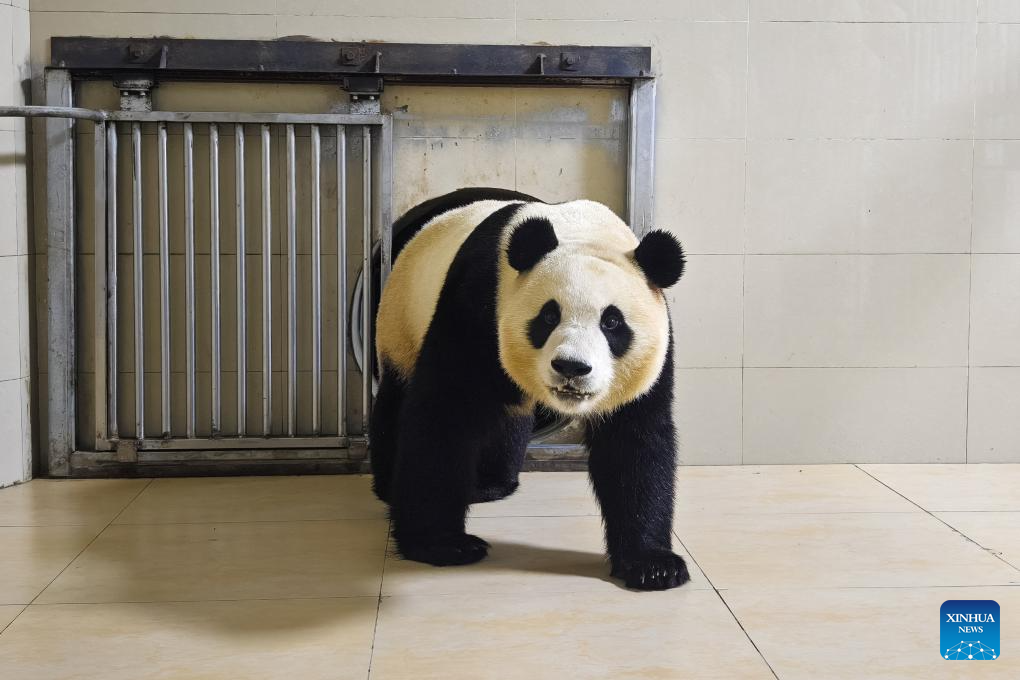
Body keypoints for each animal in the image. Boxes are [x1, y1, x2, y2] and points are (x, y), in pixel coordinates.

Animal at [371, 187, 688, 591]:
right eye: (549, 316)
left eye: (612, 323)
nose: (571, 367)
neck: (583, 235)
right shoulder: (478, 302)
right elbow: (444, 414)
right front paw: (443, 544)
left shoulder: (654, 357)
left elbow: (635, 441)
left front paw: (653, 565)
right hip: (400, 318)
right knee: (396, 401)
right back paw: (389, 486)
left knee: (507, 419)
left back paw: (490, 484)